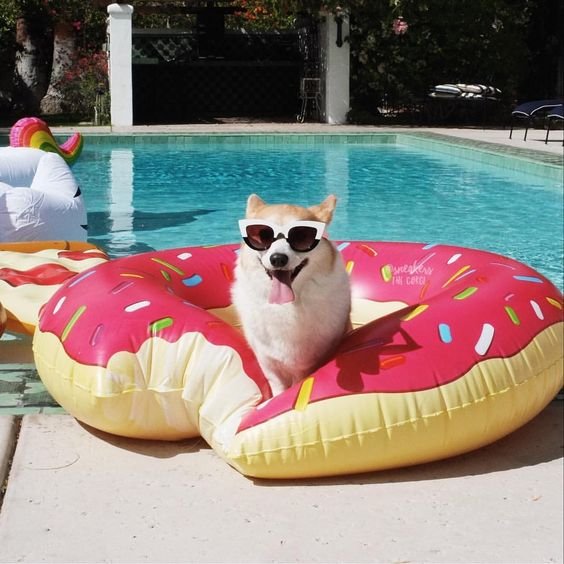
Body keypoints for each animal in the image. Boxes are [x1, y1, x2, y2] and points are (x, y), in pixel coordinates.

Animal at [231, 194, 350, 396]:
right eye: (262, 235)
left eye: (301, 236)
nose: (278, 259)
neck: (288, 306)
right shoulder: (267, 360)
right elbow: (277, 384)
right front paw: (277, 398)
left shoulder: (309, 363)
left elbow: (300, 381)